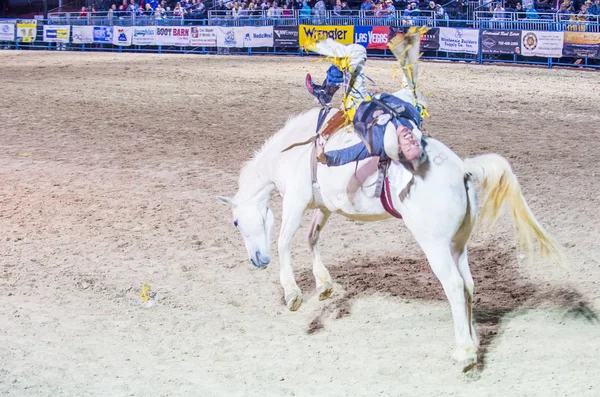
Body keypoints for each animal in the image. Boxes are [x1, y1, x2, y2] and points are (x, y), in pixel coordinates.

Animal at [218, 90, 564, 372]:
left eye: (236, 222)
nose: (257, 260)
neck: (293, 152)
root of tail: (461, 168)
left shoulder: (296, 200)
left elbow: (284, 241)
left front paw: (292, 294)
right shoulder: (325, 206)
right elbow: (312, 237)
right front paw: (324, 284)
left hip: (435, 245)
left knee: (453, 285)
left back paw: (464, 353)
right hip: (457, 244)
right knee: (467, 284)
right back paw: (472, 341)